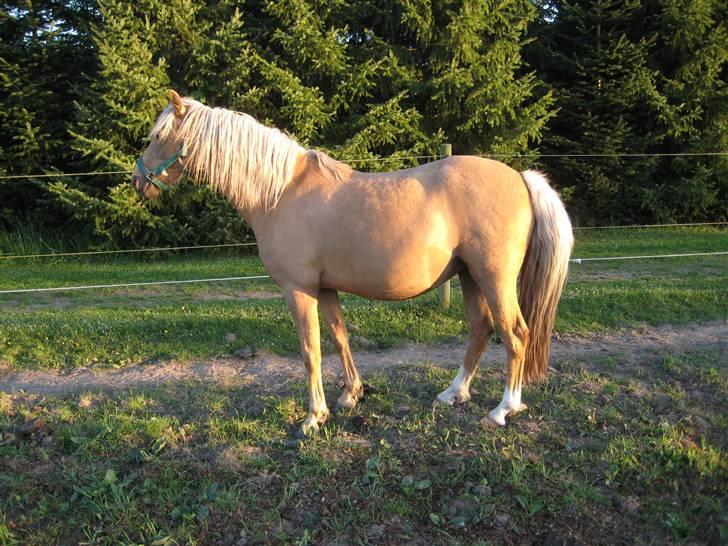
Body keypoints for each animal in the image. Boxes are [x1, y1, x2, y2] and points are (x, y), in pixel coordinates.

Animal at [133, 90, 573, 434]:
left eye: (159, 137)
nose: (137, 182)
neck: (280, 192)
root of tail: (520, 178)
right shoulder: (325, 288)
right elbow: (340, 337)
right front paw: (351, 395)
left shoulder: (299, 290)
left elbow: (309, 350)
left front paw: (314, 416)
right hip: (469, 277)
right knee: (481, 329)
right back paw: (453, 393)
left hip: (494, 278)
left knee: (515, 334)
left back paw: (502, 410)